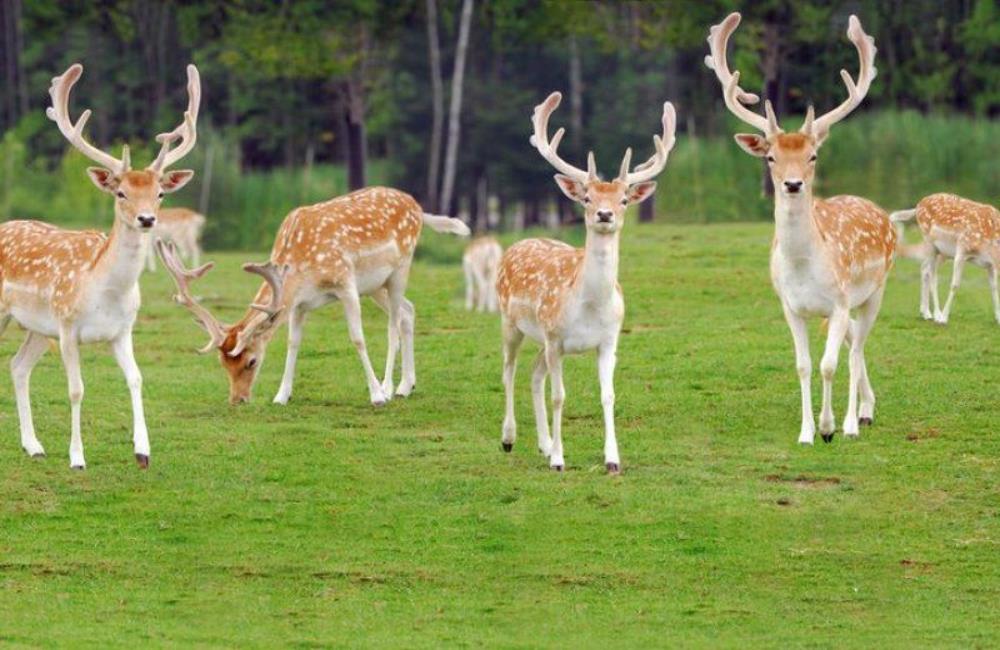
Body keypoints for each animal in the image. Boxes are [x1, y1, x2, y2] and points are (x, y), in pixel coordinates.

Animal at [0, 63, 201, 468]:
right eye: (121, 192)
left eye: (159, 193)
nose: (146, 219)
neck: (104, 293)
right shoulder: (67, 327)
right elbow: (76, 389)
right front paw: (77, 457)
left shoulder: (122, 331)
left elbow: (136, 379)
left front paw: (143, 451)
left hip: (37, 327)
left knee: (17, 366)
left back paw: (34, 445)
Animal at [158, 185, 470, 404]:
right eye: (222, 363)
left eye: (252, 361)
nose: (238, 400)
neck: (300, 268)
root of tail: (417, 206)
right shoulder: (299, 303)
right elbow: (293, 343)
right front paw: (281, 395)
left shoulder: (346, 283)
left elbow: (357, 338)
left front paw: (376, 395)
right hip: (375, 286)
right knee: (408, 311)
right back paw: (407, 385)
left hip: (400, 269)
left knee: (393, 324)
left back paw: (388, 387)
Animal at [496, 91, 676, 474]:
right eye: (588, 197)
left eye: (623, 199)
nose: (605, 214)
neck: (590, 307)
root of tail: (517, 244)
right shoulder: (555, 338)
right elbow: (559, 396)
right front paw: (560, 460)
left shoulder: (608, 341)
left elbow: (607, 395)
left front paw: (612, 459)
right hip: (511, 322)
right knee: (508, 370)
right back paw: (509, 439)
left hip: (540, 339)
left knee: (534, 374)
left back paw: (543, 444)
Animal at [704, 13, 900, 446]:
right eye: (771, 157)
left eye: (812, 156)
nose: (793, 184)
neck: (805, 267)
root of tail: (884, 214)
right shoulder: (791, 307)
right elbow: (804, 365)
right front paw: (807, 432)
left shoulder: (840, 302)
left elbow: (829, 364)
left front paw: (830, 428)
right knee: (853, 344)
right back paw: (867, 408)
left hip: (875, 290)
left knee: (855, 350)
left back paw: (856, 420)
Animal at [892, 192, 1000, 324]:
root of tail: (918, 205)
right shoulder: (961, 250)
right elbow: (955, 284)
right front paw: (944, 318)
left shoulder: (990, 264)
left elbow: (994, 288)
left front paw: (998, 318)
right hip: (929, 242)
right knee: (932, 275)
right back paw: (937, 315)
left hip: (942, 253)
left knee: (924, 268)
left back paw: (926, 313)